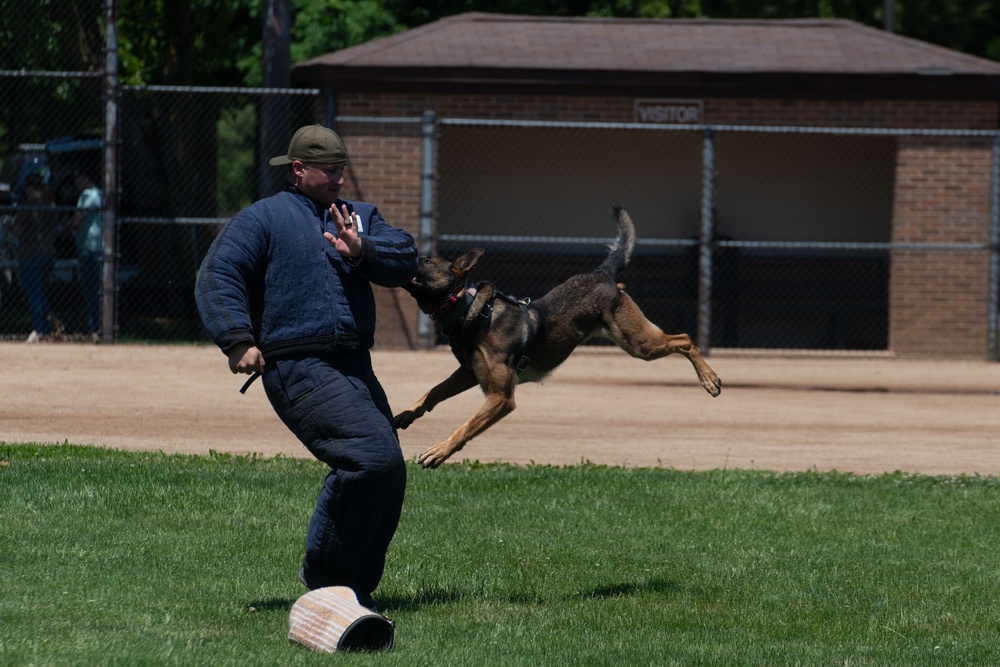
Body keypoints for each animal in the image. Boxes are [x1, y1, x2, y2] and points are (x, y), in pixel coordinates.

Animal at [394, 205, 724, 470]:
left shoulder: (501, 397)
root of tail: (602, 273)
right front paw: (407, 415)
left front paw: (439, 451)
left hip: (639, 344)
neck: (469, 307)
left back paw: (710, 380)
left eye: (426, 260)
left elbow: (465, 427)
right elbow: (433, 392)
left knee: (684, 338)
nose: (404, 246)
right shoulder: (469, 373)